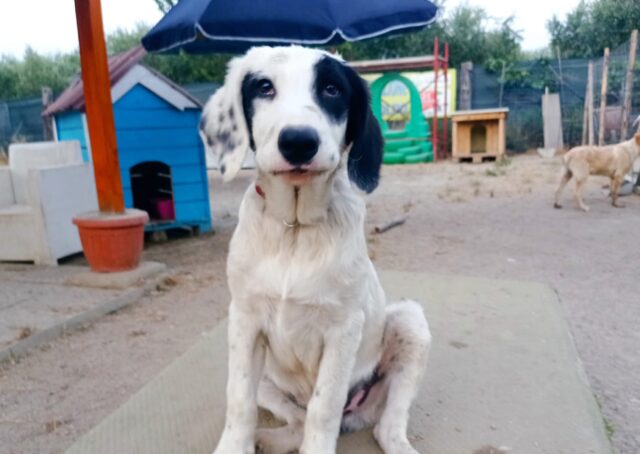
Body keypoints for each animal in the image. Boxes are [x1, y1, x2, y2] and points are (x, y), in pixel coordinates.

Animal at [200, 46, 430, 454]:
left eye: (332, 90)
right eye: (264, 87)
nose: (298, 141)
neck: (294, 229)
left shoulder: (343, 330)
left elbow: (324, 409)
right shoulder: (243, 319)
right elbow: (238, 400)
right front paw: (235, 445)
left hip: (408, 320)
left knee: (381, 425)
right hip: (268, 379)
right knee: (295, 419)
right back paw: (267, 439)